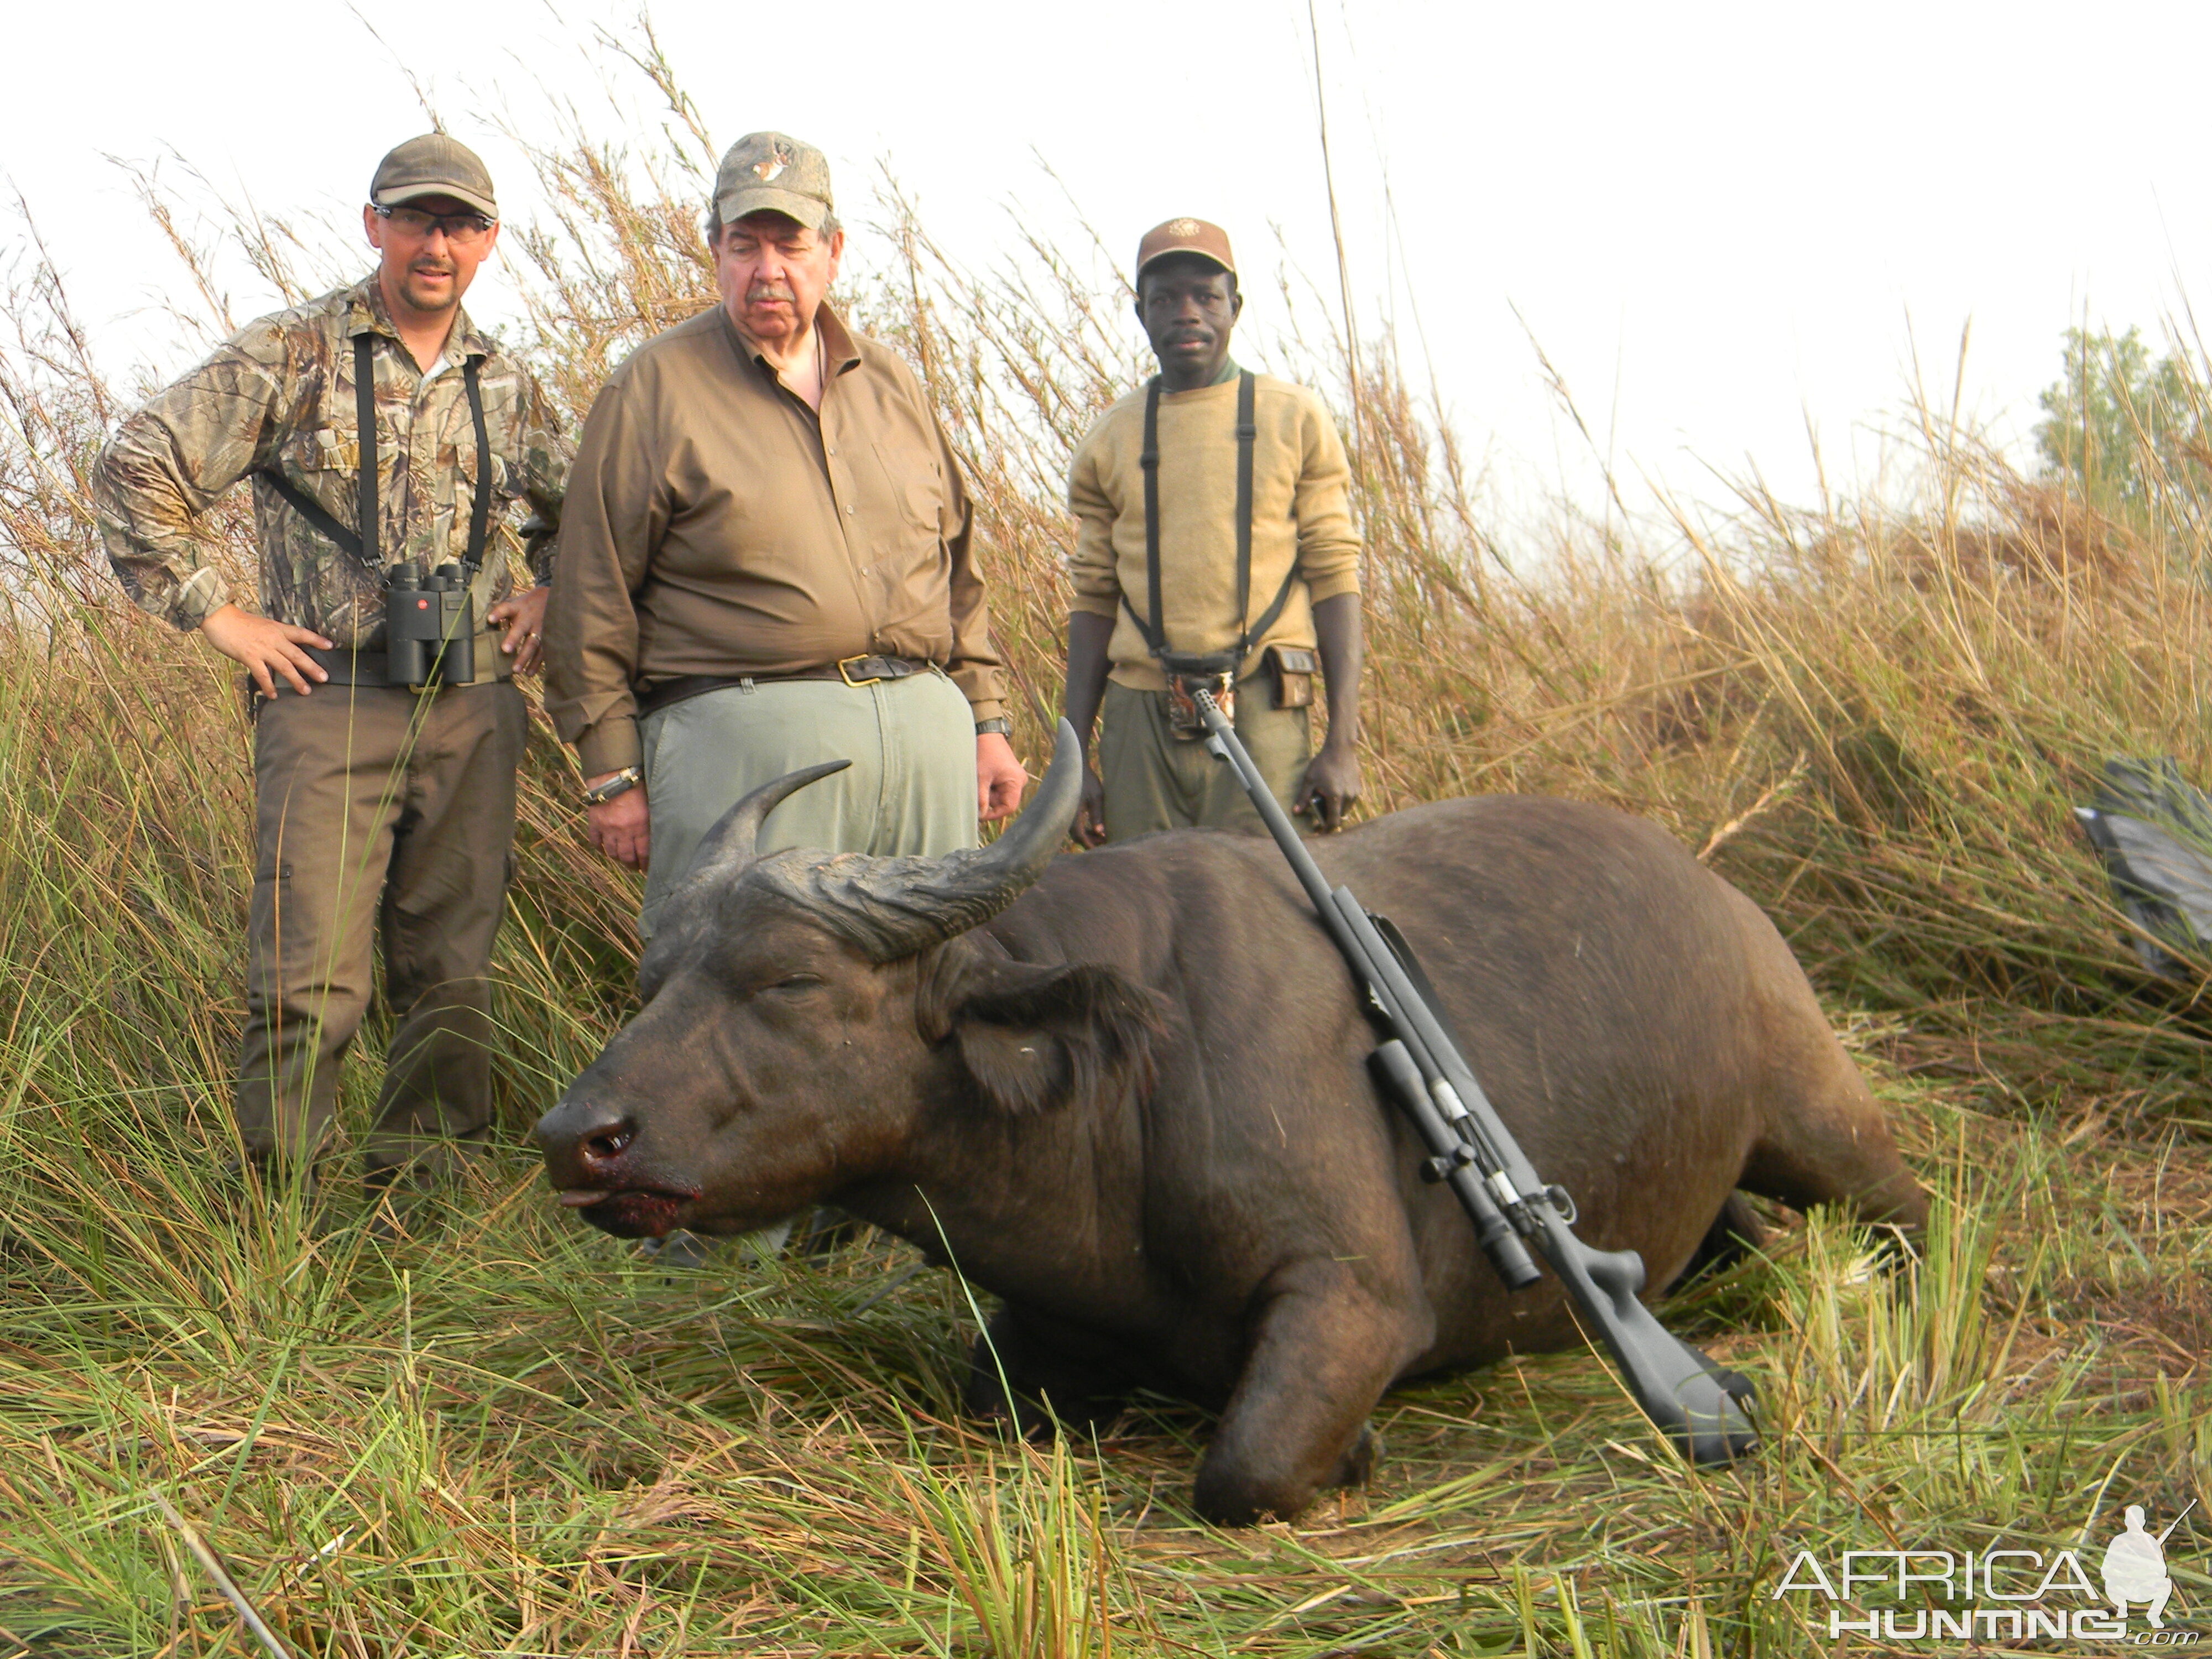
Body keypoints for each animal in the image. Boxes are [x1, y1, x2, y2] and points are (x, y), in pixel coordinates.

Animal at [535, 721, 1920, 1531]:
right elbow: (993, 1394)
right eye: (656, 979)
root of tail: (1723, 900)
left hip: (1818, 1120)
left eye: (788, 980)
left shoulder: (1355, 1302)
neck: (1120, 1099)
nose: (576, 1137)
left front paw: (1351, 1456)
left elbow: (1243, 1468)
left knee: (1905, 1206)